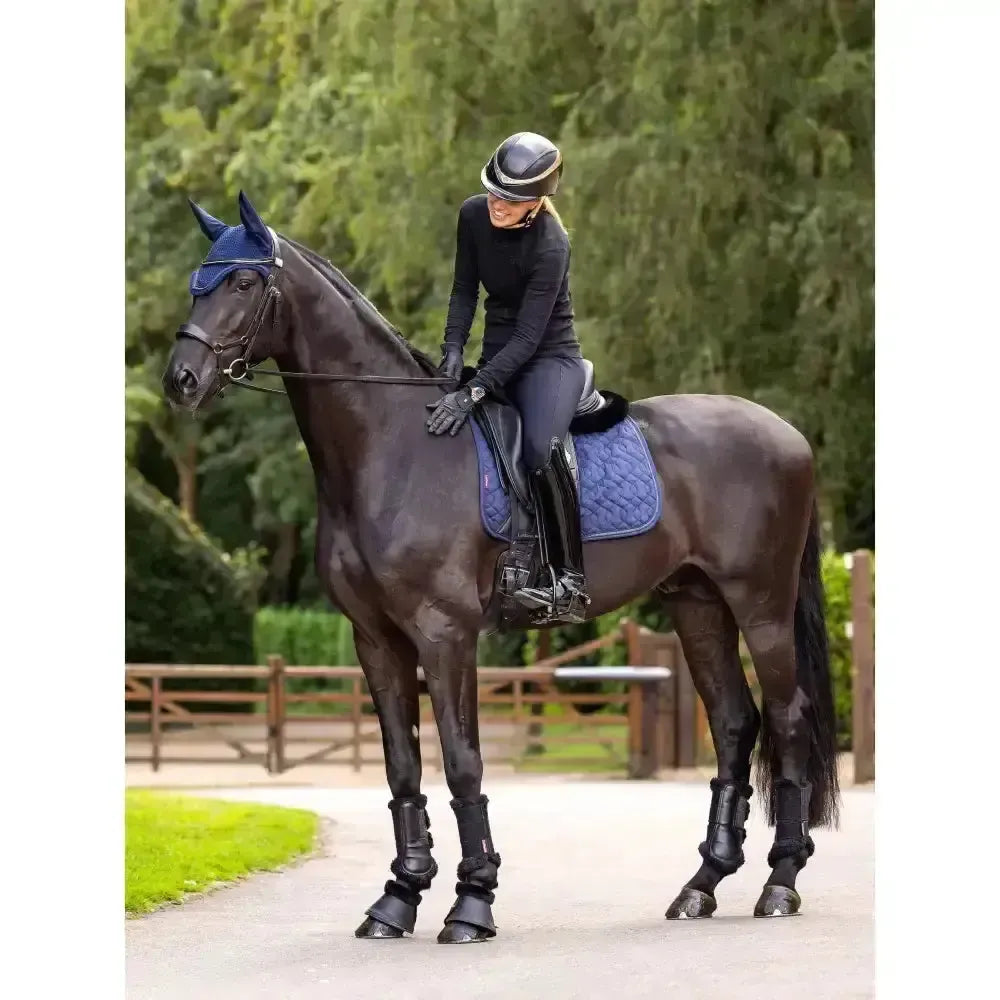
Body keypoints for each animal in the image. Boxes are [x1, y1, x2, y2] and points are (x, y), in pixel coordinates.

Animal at [161, 192, 840, 943]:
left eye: (242, 283)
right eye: (198, 280)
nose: (181, 381)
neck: (391, 448)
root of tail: (786, 433)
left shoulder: (445, 633)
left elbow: (462, 763)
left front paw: (472, 900)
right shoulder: (377, 640)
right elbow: (403, 768)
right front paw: (398, 898)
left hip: (761, 603)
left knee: (787, 718)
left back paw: (781, 882)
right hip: (697, 603)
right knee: (734, 724)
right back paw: (702, 885)